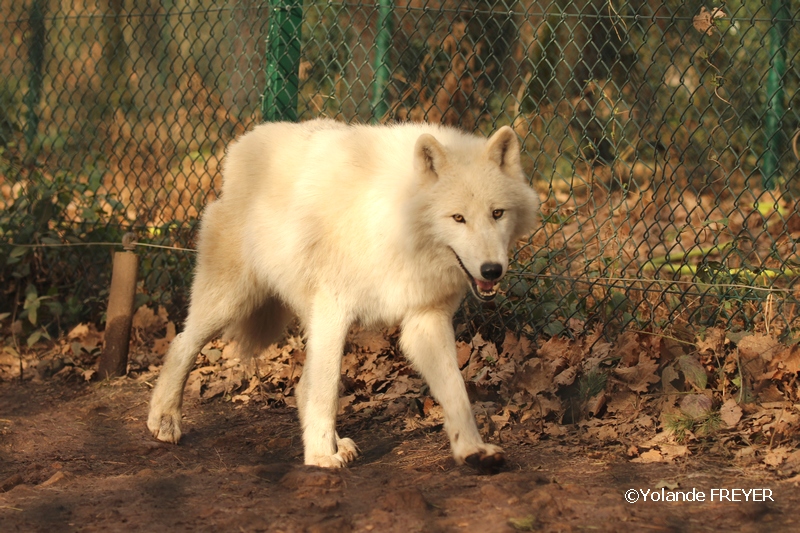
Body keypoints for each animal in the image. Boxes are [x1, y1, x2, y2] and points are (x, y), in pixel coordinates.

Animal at [147, 118, 540, 468]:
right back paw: (164, 419)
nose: (491, 270)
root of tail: (244, 141)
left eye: (497, 213)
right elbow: (326, 392)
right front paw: (321, 457)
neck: (399, 226)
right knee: (182, 344)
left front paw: (472, 449)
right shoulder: (333, 309)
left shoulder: (425, 320)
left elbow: (456, 392)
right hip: (232, 300)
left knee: (301, 386)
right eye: (458, 218)